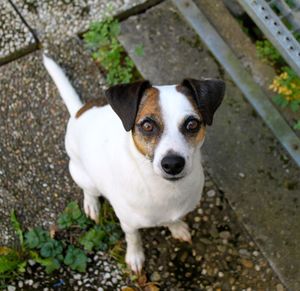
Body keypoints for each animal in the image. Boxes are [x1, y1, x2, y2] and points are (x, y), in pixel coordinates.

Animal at [43, 54, 224, 274]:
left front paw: (176, 227)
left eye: (192, 124)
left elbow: (173, 220)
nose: (173, 164)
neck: (164, 189)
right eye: (147, 125)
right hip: (84, 176)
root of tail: (79, 112)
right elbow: (134, 238)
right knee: (89, 191)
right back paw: (92, 205)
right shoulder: (128, 223)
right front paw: (135, 257)